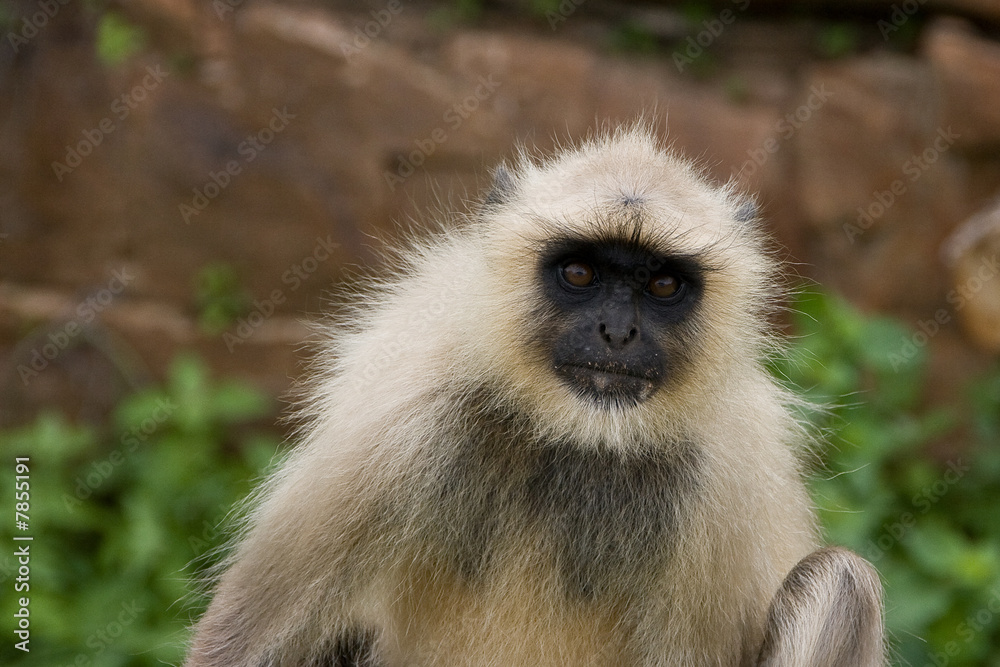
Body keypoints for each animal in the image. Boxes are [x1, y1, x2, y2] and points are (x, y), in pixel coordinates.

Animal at [184, 124, 885, 667]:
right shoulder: (402, 412)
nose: (617, 333)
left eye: (662, 285)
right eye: (579, 273)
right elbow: (237, 646)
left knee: (842, 582)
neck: (574, 437)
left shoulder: (725, 475)